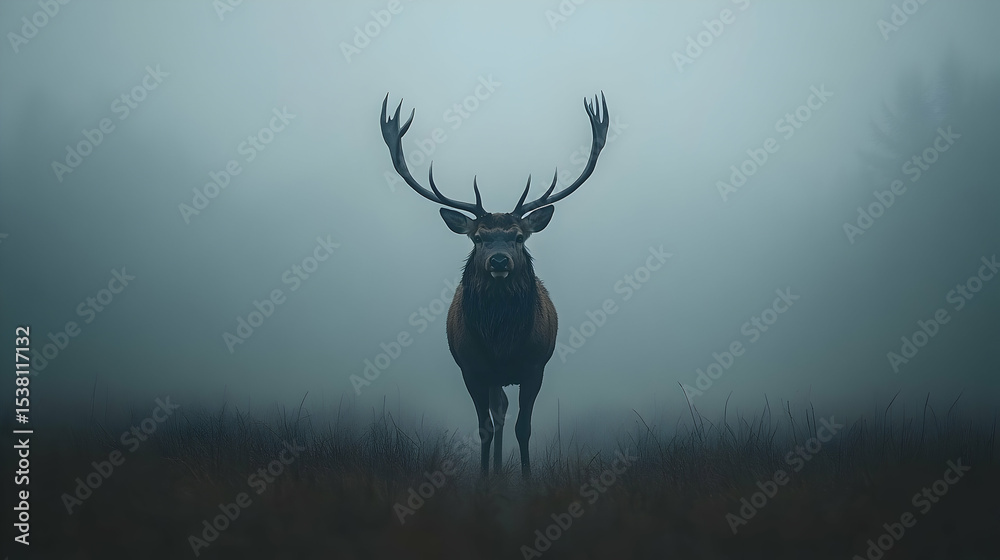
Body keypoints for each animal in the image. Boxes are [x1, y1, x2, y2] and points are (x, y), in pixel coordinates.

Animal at [379, 92, 610, 478]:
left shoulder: (535, 366)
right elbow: (485, 426)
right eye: (477, 238)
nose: (499, 261)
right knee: (497, 412)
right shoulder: (472, 368)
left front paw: (527, 480)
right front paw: (486, 481)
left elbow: (523, 427)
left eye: (518, 236)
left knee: (504, 413)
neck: (501, 341)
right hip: (491, 377)